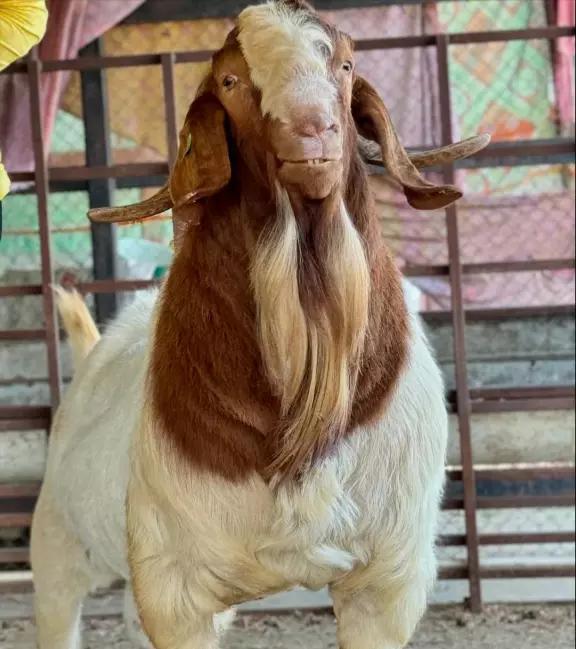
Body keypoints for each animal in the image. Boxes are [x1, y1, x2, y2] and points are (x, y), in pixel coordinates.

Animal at [31, 2, 489, 648]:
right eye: (230, 80)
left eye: (346, 65)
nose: (312, 130)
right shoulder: (173, 587)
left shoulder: (387, 580)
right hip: (58, 544)